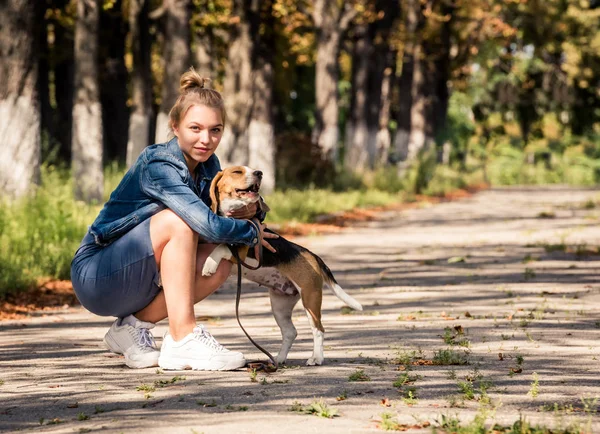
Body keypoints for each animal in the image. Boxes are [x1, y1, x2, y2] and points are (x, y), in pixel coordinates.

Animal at [202, 166, 364, 366]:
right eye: (237, 172)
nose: (259, 172)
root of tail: (312, 255)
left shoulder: (240, 250)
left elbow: (221, 247)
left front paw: (209, 264)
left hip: (310, 298)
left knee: (318, 329)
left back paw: (316, 358)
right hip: (280, 305)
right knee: (290, 332)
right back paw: (279, 358)